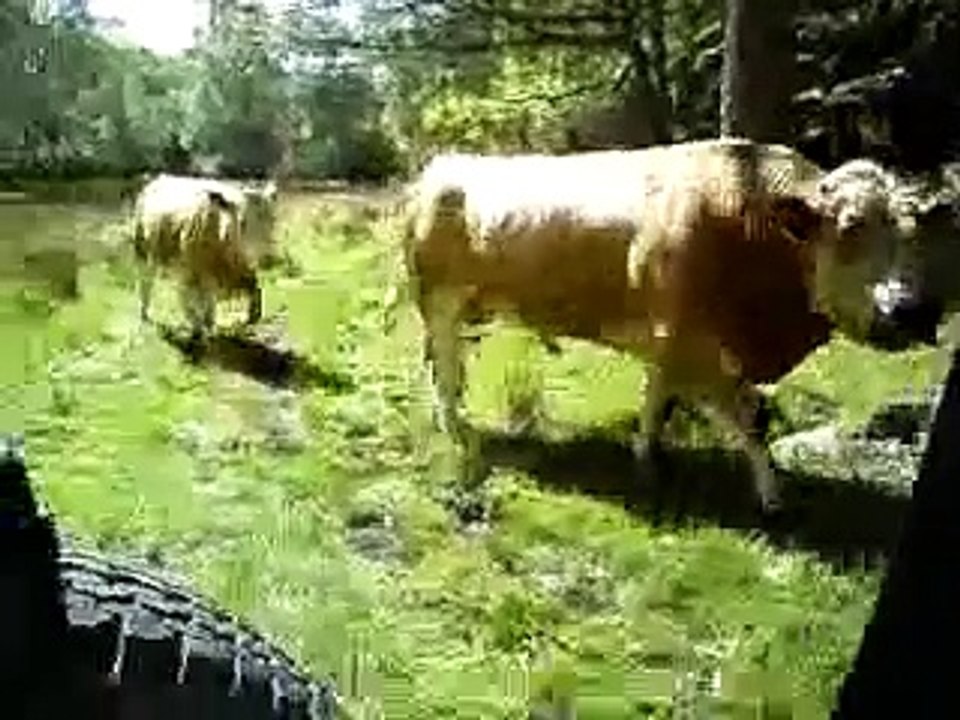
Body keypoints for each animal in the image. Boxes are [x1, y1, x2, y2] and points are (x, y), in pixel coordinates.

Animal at [131, 174, 277, 341]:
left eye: (273, 220)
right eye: (242, 223)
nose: (267, 257)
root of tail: (161, 178)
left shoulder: (230, 271)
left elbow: (252, 288)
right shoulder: (190, 271)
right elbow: (191, 300)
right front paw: (197, 328)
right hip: (143, 250)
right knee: (147, 283)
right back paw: (145, 314)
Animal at [395, 137, 945, 514]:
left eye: (912, 231)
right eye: (850, 227)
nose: (914, 311)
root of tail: (442, 166)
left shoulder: (672, 342)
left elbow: (658, 400)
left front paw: (648, 458)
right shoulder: (694, 341)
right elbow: (751, 419)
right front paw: (772, 499)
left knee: (450, 364)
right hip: (439, 301)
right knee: (443, 368)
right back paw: (456, 428)